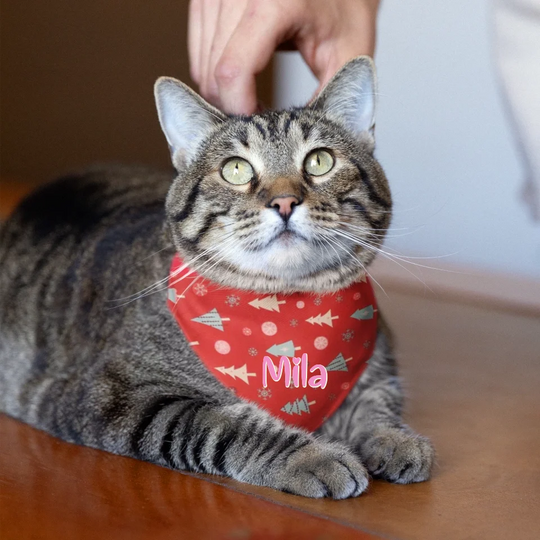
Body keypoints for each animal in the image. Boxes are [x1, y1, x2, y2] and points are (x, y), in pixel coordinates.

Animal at [0, 57, 434, 500]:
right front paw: (312, 456)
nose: (284, 201)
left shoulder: (379, 366)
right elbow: (226, 424)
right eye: (236, 169)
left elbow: (376, 402)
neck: (285, 311)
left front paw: (395, 439)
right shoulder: (115, 397)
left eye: (319, 161)